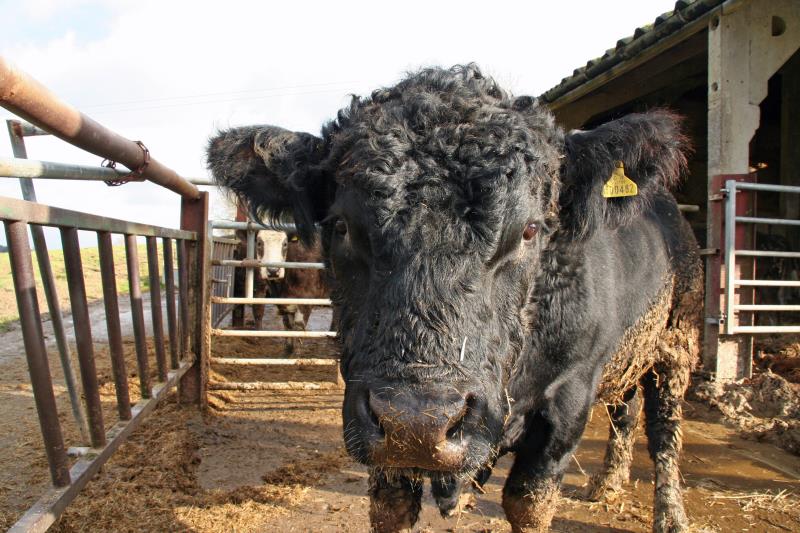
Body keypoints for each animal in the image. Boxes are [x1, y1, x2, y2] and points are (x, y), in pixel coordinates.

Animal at [207, 64, 702, 533]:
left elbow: (528, 504)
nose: (419, 424)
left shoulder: (570, 397)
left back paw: (671, 514)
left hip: (677, 341)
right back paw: (607, 484)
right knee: (626, 411)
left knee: (663, 429)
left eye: (530, 230)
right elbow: (391, 508)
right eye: (342, 226)